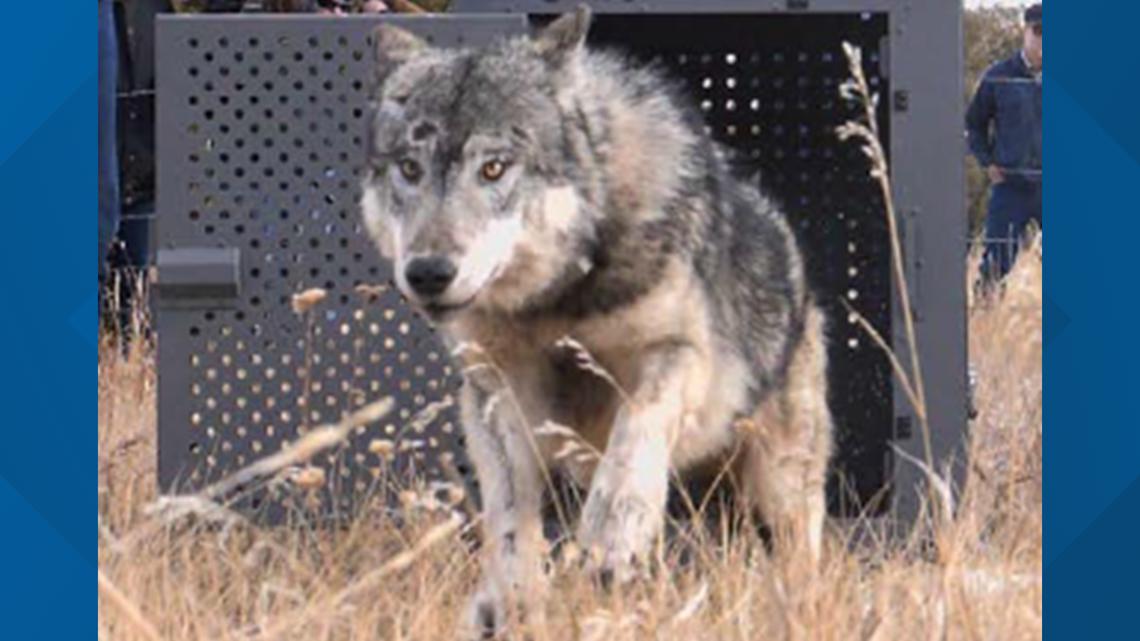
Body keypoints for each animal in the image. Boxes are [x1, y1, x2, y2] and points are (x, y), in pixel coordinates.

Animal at [361, 6, 833, 637]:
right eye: (410, 169)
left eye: (494, 168)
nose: (428, 273)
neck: (559, 301)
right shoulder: (494, 395)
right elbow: (509, 519)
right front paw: (514, 602)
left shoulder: (679, 354)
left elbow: (636, 428)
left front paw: (613, 536)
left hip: (779, 486)